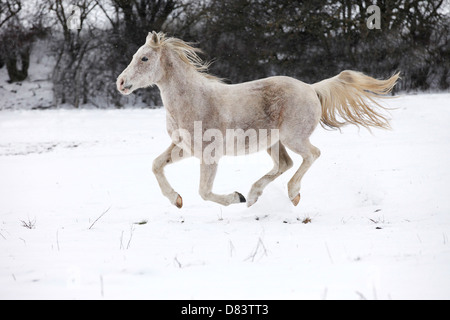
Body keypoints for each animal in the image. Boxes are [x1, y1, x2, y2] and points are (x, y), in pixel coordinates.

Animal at [117, 31, 400, 209]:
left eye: (144, 58)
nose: (120, 83)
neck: (195, 100)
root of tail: (311, 88)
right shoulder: (184, 148)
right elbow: (156, 165)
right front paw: (176, 200)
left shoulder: (209, 154)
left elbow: (204, 191)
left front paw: (236, 198)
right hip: (273, 142)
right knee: (284, 164)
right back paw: (255, 196)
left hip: (294, 137)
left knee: (311, 155)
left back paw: (289, 194)